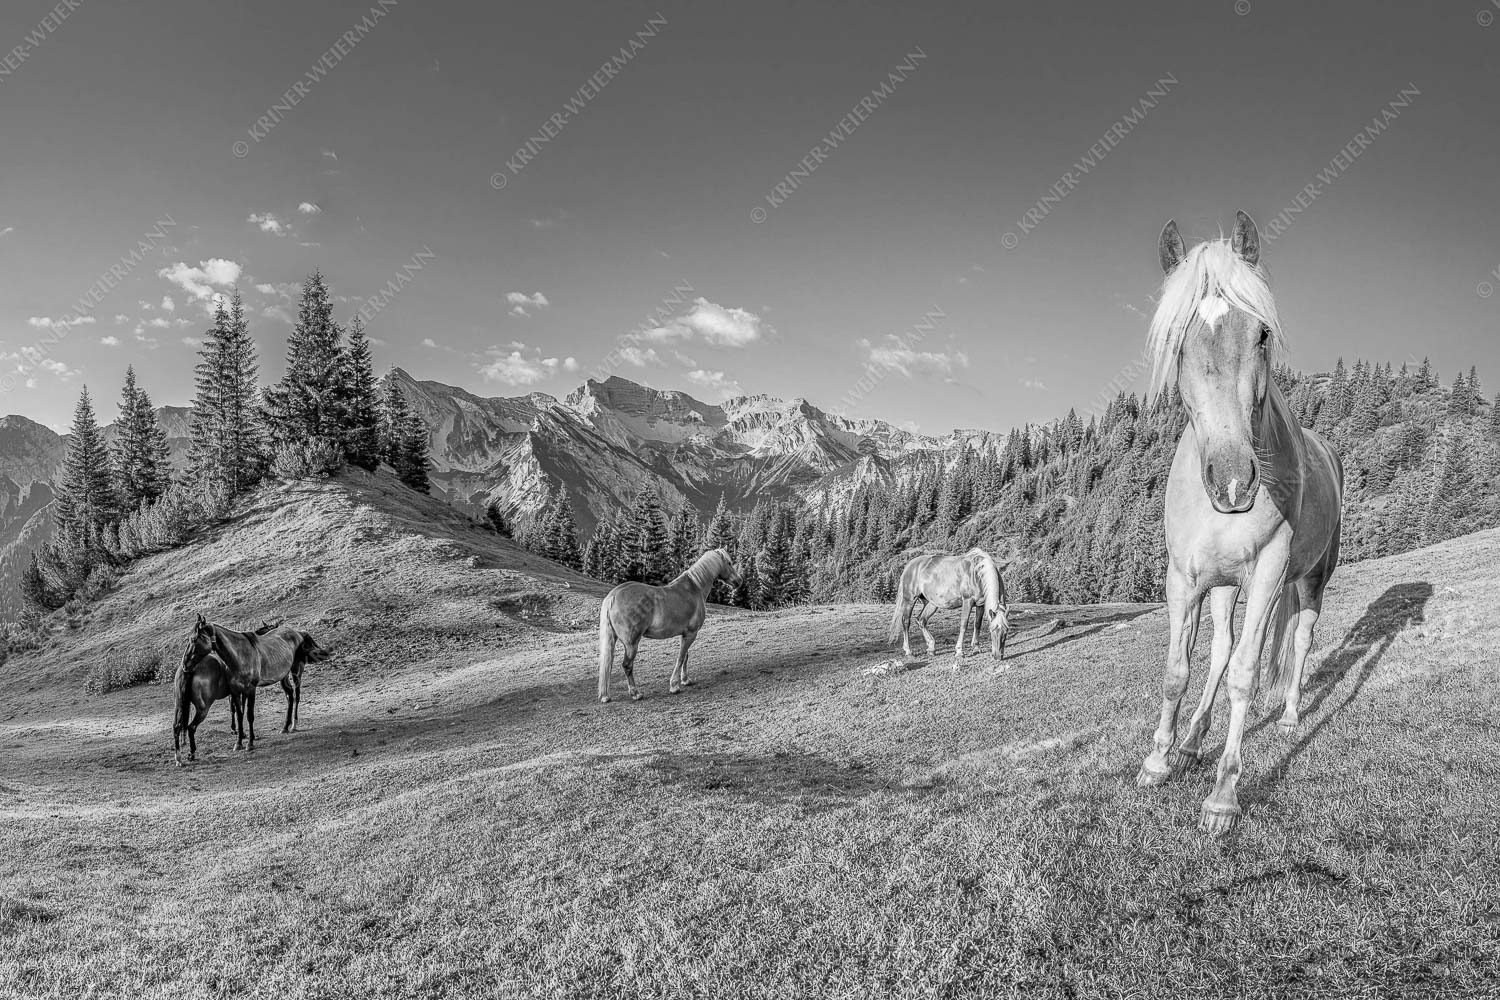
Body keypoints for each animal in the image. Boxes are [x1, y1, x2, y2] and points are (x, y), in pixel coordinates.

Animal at [184, 614, 332, 750]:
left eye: (194, 639)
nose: (185, 664)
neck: (239, 656)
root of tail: (298, 633)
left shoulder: (250, 689)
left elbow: (249, 715)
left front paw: (250, 743)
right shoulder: (236, 691)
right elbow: (239, 715)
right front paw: (238, 742)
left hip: (296, 671)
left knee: (297, 695)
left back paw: (294, 725)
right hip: (283, 676)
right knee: (289, 694)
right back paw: (285, 726)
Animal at [597, 548, 740, 703]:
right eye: (729, 563)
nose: (739, 581)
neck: (695, 588)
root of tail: (614, 595)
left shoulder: (685, 634)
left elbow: (686, 656)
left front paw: (685, 680)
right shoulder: (691, 633)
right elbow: (681, 657)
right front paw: (675, 686)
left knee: (609, 664)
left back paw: (606, 695)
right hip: (631, 644)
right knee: (627, 665)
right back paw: (636, 693)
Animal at [1136, 211, 1343, 836]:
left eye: (1263, 335)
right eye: (1177, 341)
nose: (1233, 482)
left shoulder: (1270, 572)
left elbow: (1246, 675)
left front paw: (1224, 794)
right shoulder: (1184, 577)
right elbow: (1179, 669)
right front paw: (1159, 760)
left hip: (1307, 580)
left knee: (1298, 639)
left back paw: (1290, 715)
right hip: (1226, 586)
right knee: (1223, 648)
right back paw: (1191, 740)